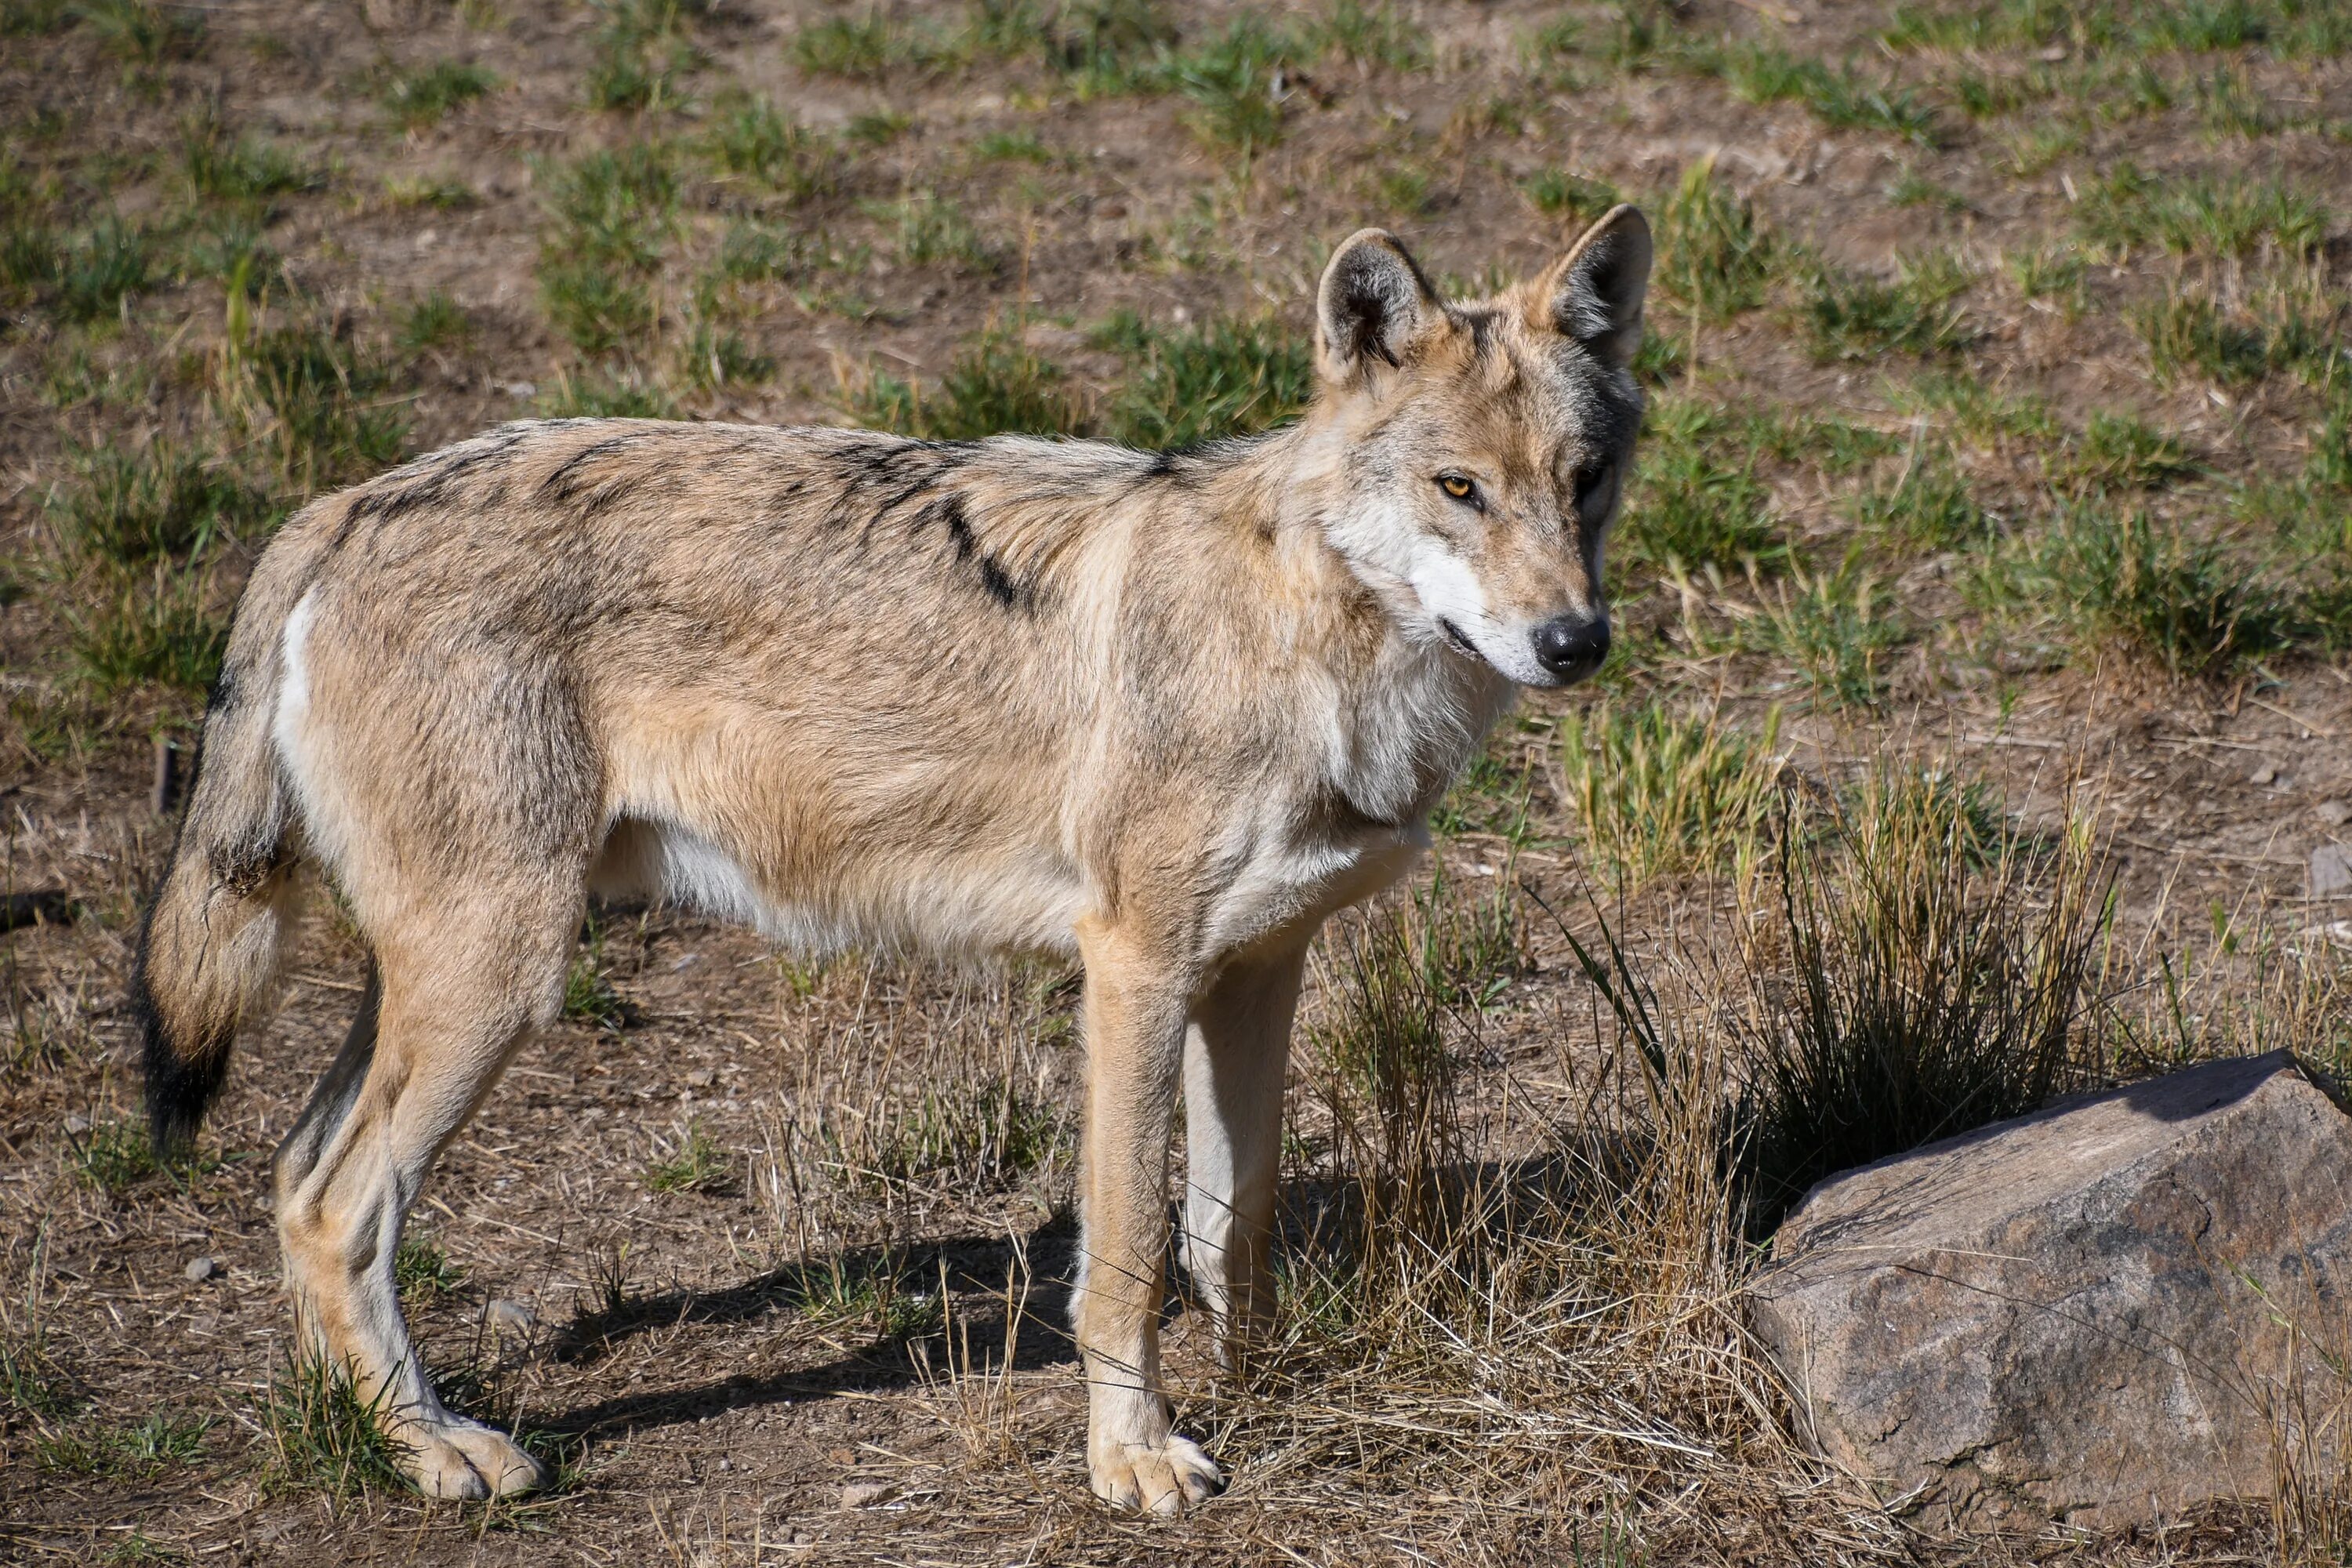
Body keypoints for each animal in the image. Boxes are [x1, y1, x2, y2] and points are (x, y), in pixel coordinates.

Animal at [133, 205, 1656, 1504]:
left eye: (1585, 483)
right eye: (1459, 489)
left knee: (291, 1176)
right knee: (336, 1205)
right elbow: (1129, 1251)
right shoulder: (1135, 970)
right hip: (501, 980)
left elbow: (1234, 1222)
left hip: (444, 982)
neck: (1312, 640)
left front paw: (1269, 1384)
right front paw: (1135, 1460)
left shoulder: (1258, 969)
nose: (1576, 644)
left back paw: (376, 1436)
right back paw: (435, 1454)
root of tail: (341, 503)